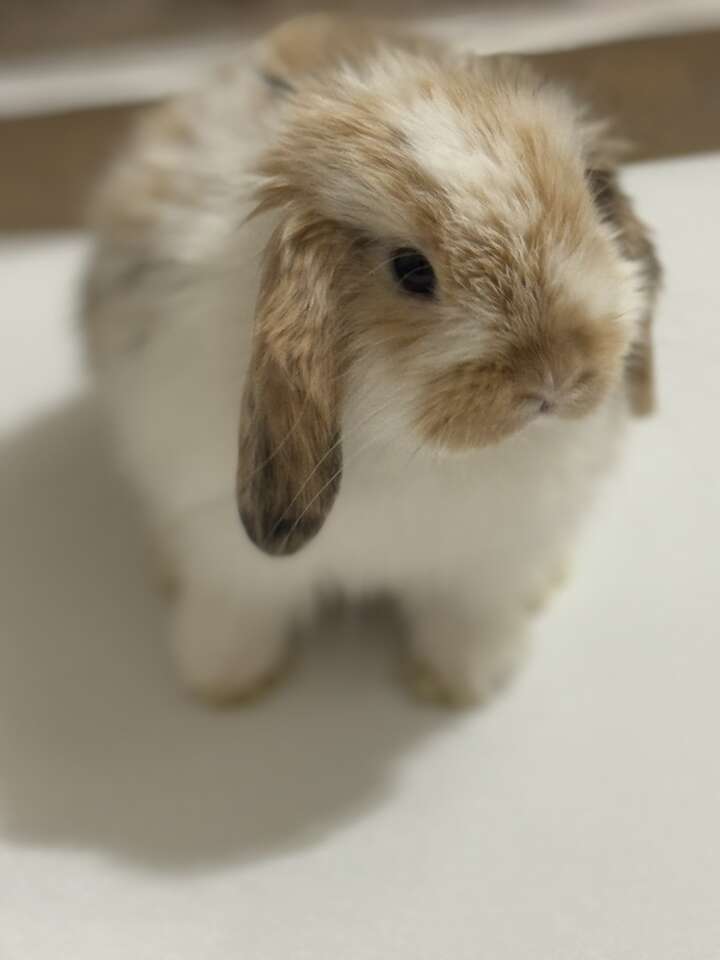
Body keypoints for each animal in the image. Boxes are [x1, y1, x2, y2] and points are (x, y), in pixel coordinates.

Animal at [81, 13, 660, 704]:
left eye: (591, 210)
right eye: (411, 271)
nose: (557, 378)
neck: (406, 443)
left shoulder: (489, 561)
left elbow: (469, 617)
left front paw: (460, 684)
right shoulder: (228, 551)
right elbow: (237, 608)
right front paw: (222, 680)